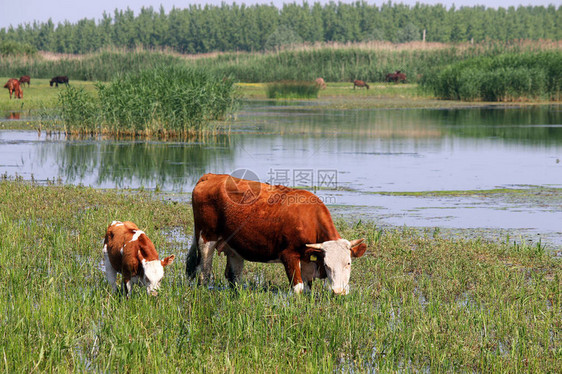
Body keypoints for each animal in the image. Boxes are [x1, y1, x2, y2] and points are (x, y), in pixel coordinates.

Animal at [186, 173, 366, 296]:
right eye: (327, 265)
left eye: (348, 263)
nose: (339, 291)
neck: (308, 218)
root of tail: (211, 176)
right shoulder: (289, 255)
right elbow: (298, 288)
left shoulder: (307, 257)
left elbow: (308, 288)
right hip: (205, 238)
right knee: (204, 272)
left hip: (233, 246)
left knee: (233, 276)